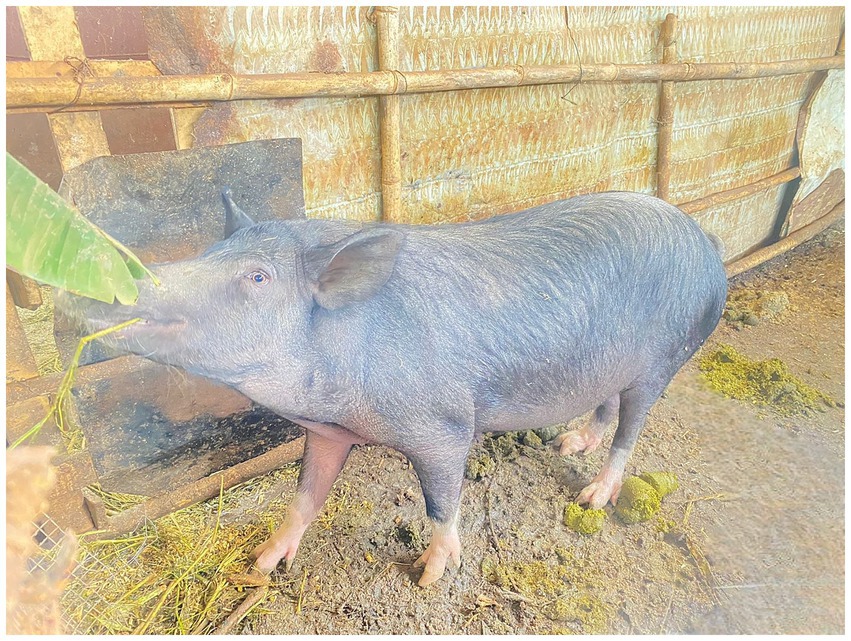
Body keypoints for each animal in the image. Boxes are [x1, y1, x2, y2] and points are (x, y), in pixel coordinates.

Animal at [57, 189, 727, 586]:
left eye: (258, 276)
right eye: (210, 249)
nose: (89, 284)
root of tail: (705, 240)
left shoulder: (444, 425)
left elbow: (441, 500)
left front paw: (430, 576)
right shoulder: (328, 432)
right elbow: (305, 495)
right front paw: (263, 563)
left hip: (663, 360)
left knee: (633, 426)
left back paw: (593, 496)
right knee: (606, 407)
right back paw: (568, 445)